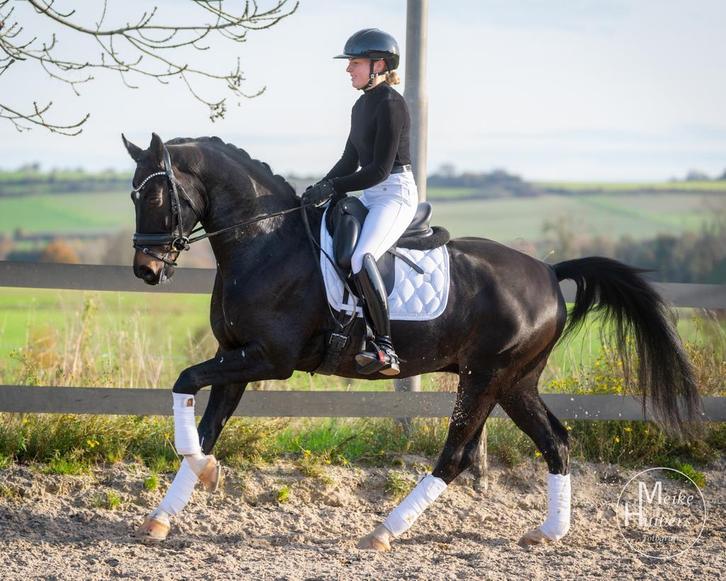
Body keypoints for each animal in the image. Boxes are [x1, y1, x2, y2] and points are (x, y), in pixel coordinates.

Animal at [122, 133, 701, 549]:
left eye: (155, 193)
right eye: (132, 193)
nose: (147, 270)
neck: (264, 240)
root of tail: (547, 271)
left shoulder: (268, 358)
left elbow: (185, 382)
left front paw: (204, 477)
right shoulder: (236, 356)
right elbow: (204, 426)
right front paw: (167, 511)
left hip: (486, 377)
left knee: (456, 456)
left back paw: (383, 532)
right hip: (515, 382)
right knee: (554, 441)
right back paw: (549, 533)